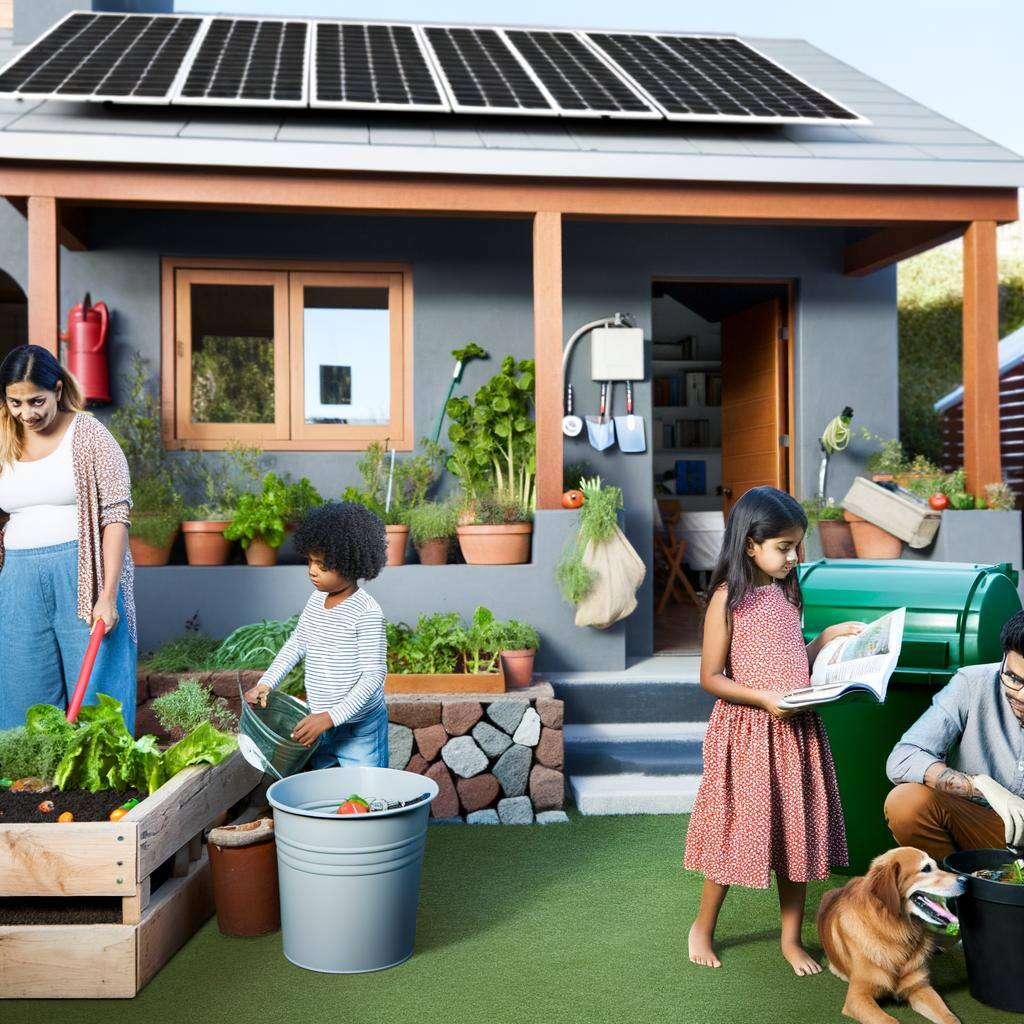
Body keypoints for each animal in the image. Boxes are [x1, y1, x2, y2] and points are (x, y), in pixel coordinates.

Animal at [815, 843, 966, 1019]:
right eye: (926, 868)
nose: (966, 879)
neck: (895, 930)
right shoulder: (857, 996)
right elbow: (889, 1020)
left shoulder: (920, 987)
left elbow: (949, 1017)